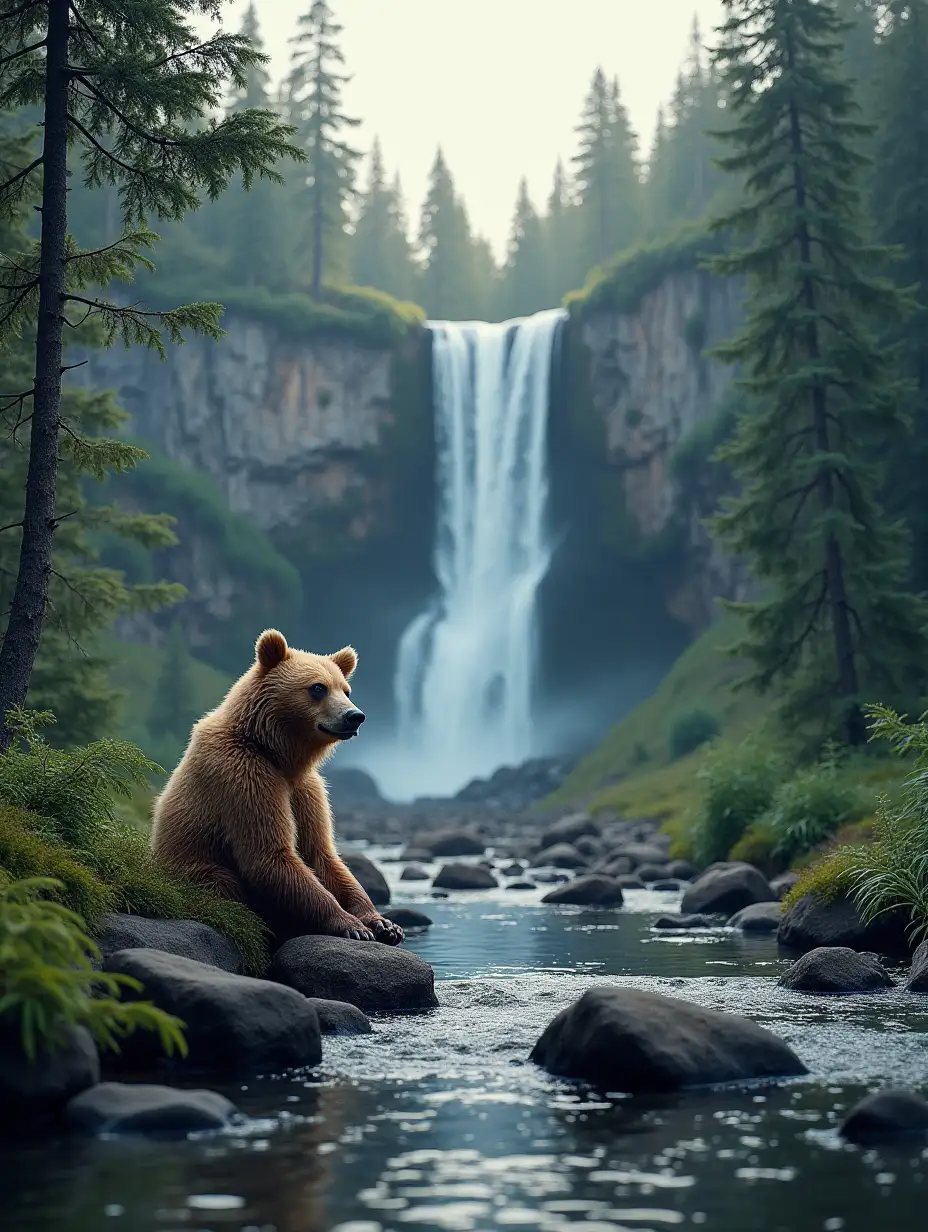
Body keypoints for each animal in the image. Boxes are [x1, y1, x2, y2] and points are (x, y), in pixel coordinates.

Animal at [149, 630, 401, 946]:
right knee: (223, 882)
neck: (274, 750)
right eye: (318, 688)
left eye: (346, 690)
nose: (355, 716)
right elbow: (270, 855)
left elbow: (322, 854)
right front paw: (351, 924)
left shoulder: (306, 789)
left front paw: (383, 923)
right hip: (194, 868)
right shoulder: (243, 775)